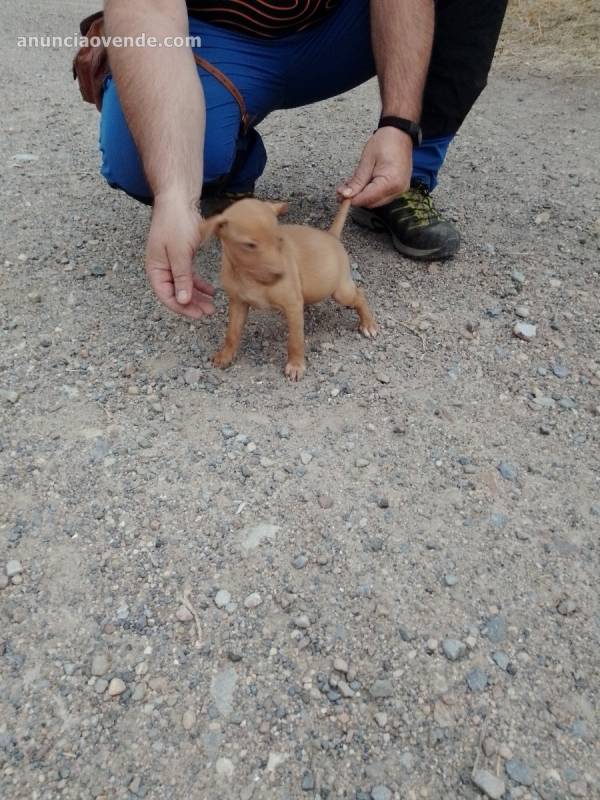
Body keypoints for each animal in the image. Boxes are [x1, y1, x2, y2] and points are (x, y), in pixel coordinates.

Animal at [199, 196, 378, 378]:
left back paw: (368, 324)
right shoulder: (238, 303)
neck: (251, 279)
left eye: (279, 240)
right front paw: (225, 355)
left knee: (360, 294)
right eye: (249, 245)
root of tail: (331, 236)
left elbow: (295, 340)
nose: (281, 273)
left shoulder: (292, 305)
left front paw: (296, 365)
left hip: (340, 291)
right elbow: (232, 334)